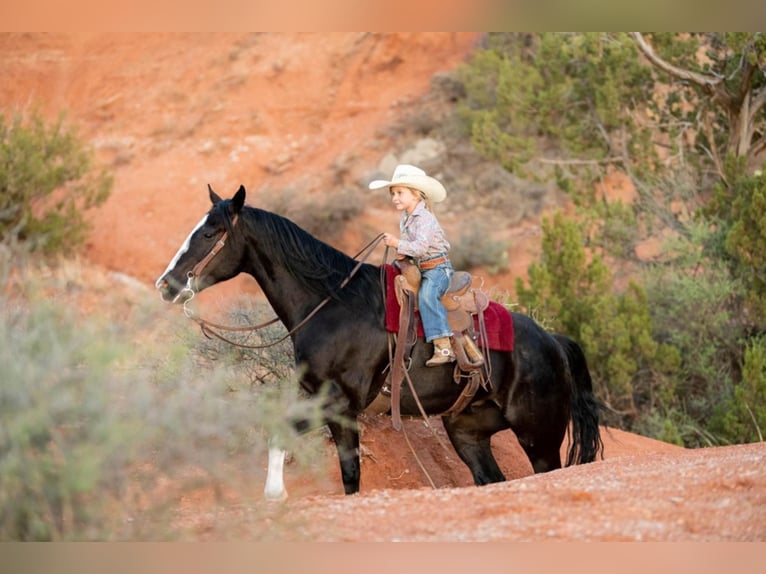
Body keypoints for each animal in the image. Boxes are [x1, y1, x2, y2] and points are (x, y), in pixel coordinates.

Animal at [156, 186, 608, 500]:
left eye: (210, 233)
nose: (167, 284)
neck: (333, 304)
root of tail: (552, 341)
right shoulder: (320, 400)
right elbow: (337, 469)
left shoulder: (340, 405)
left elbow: (327, 459)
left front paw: (275, 495)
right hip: (468, 431)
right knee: (491, 478)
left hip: (539, 434)